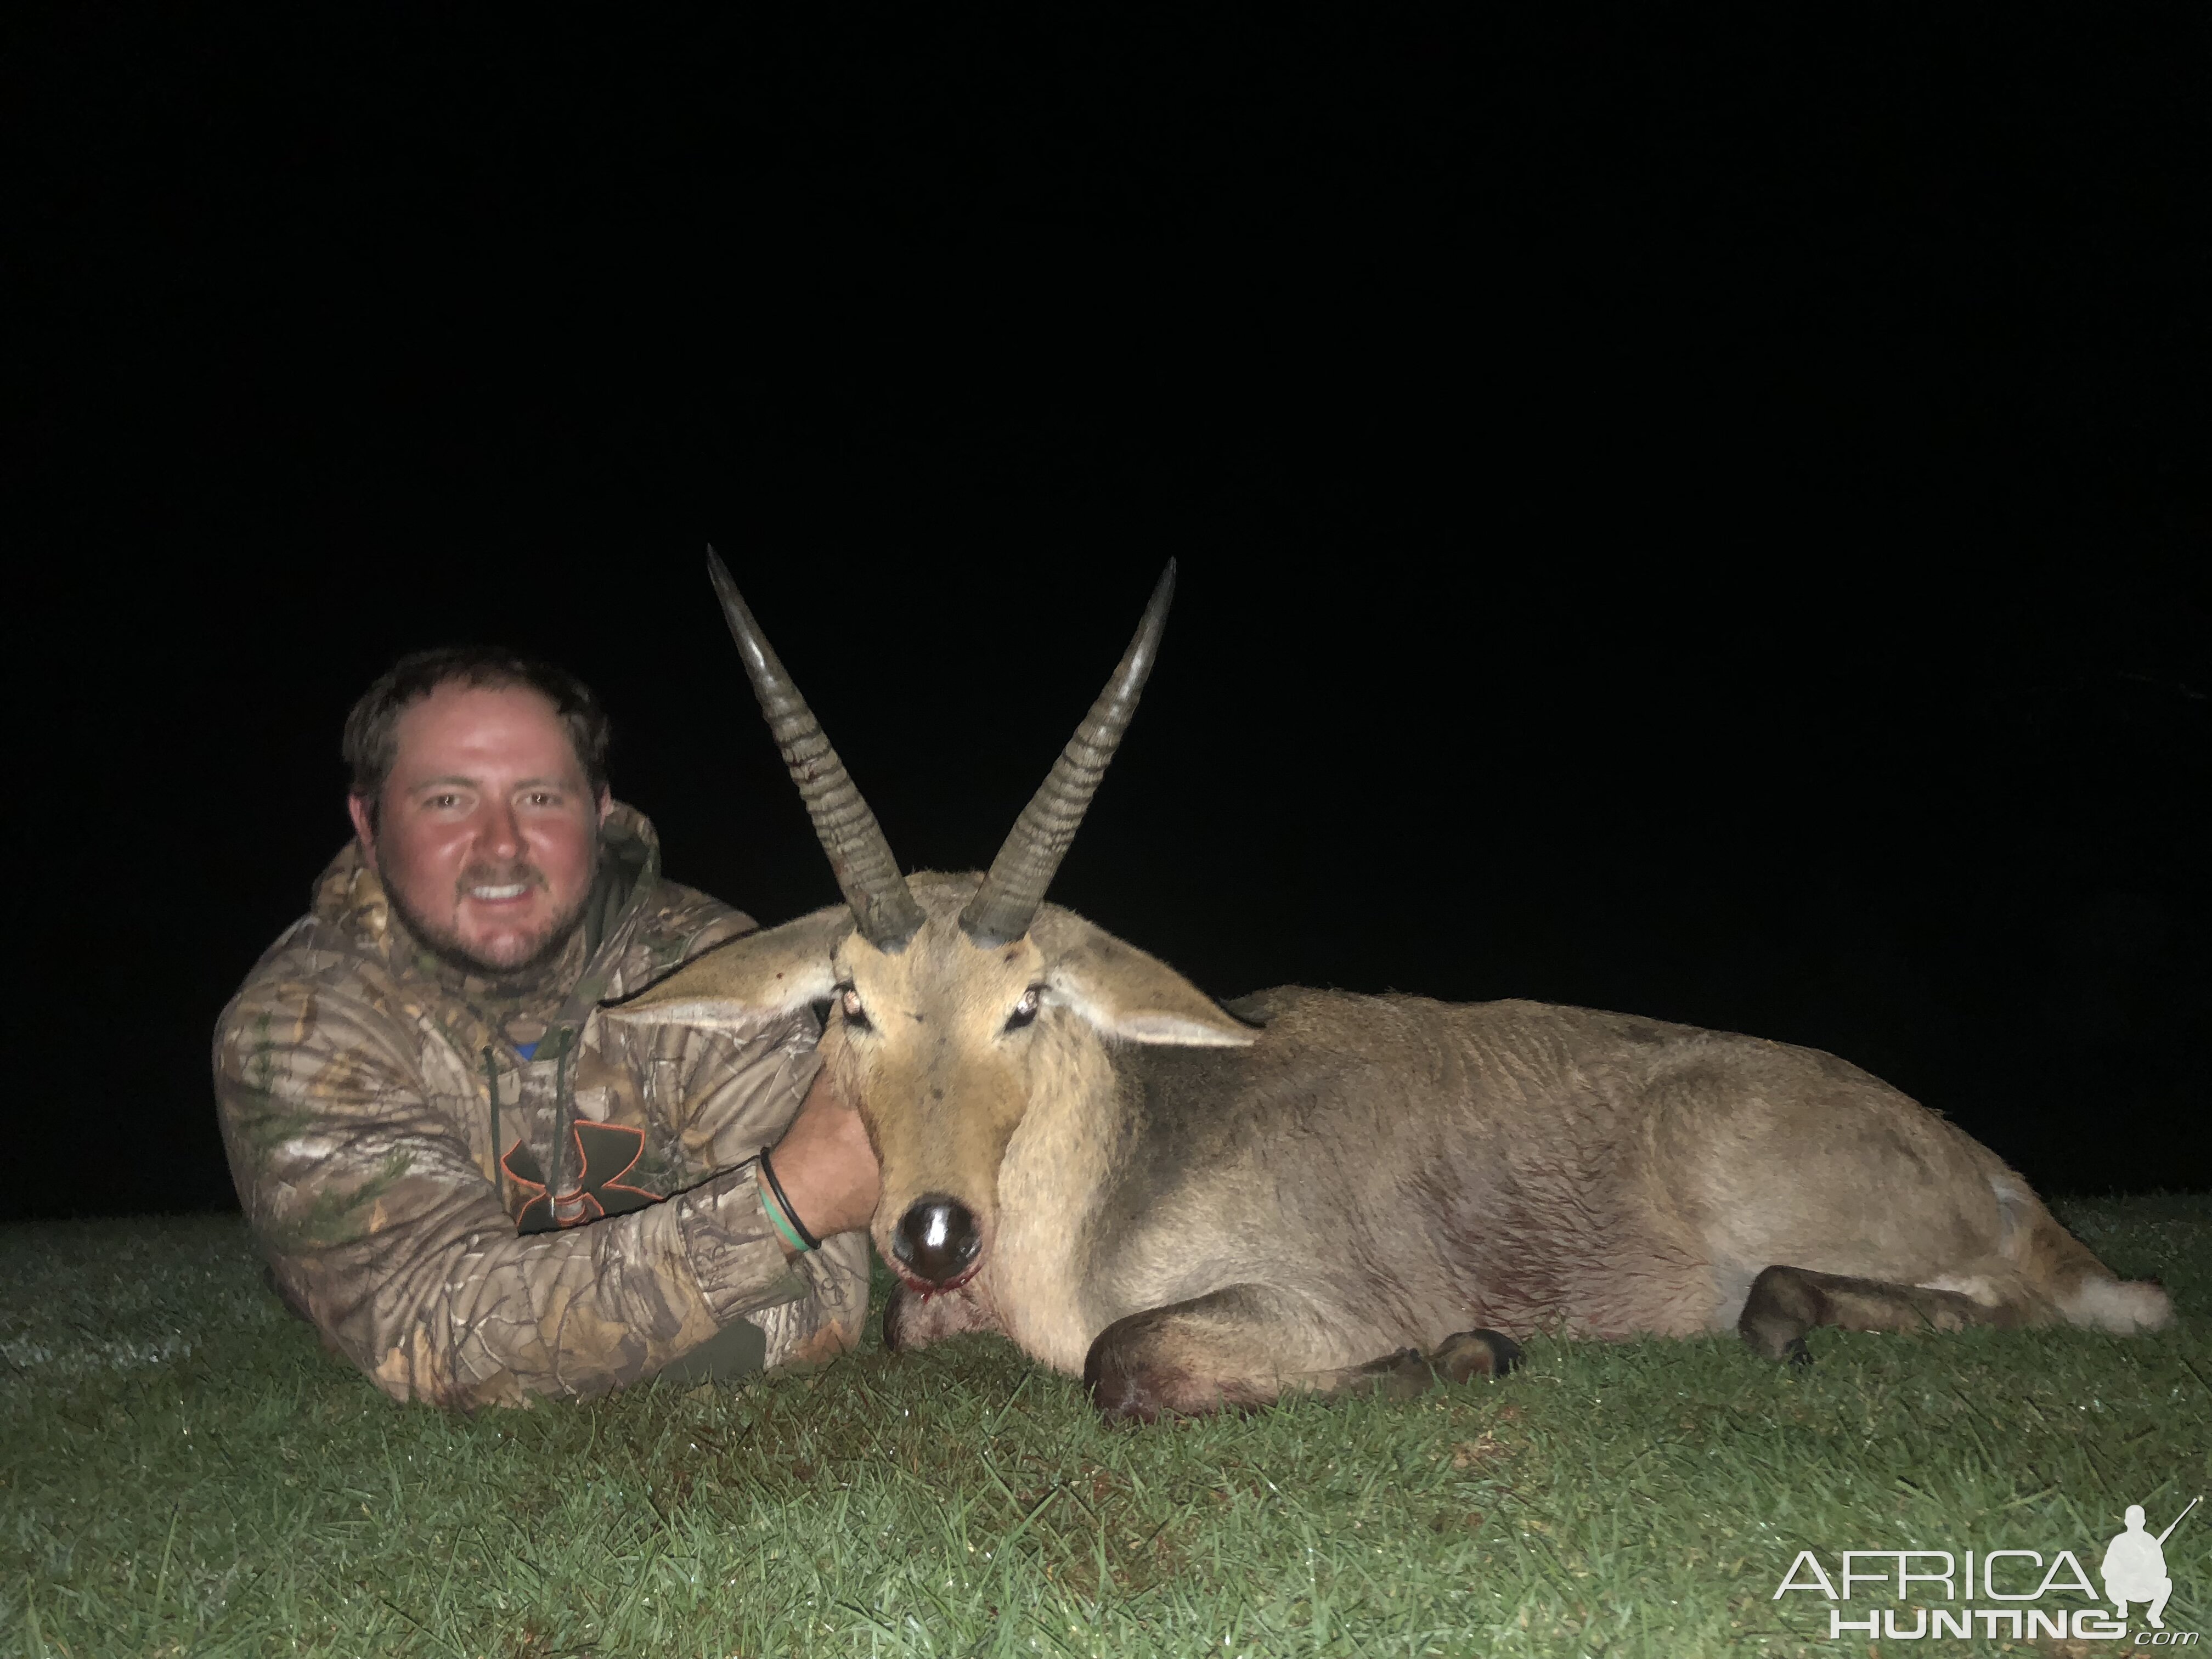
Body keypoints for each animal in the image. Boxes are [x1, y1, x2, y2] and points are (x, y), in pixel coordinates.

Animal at [614, 553, 2168, 1424]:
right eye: (851, 1005)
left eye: (1026, 1002)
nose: (934, 1234)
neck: (1125, 1149)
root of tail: (2003, 1182)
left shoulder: (1305, 1302)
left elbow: (1126, 1358)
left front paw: (1464, 1357)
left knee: (2012, 1307)